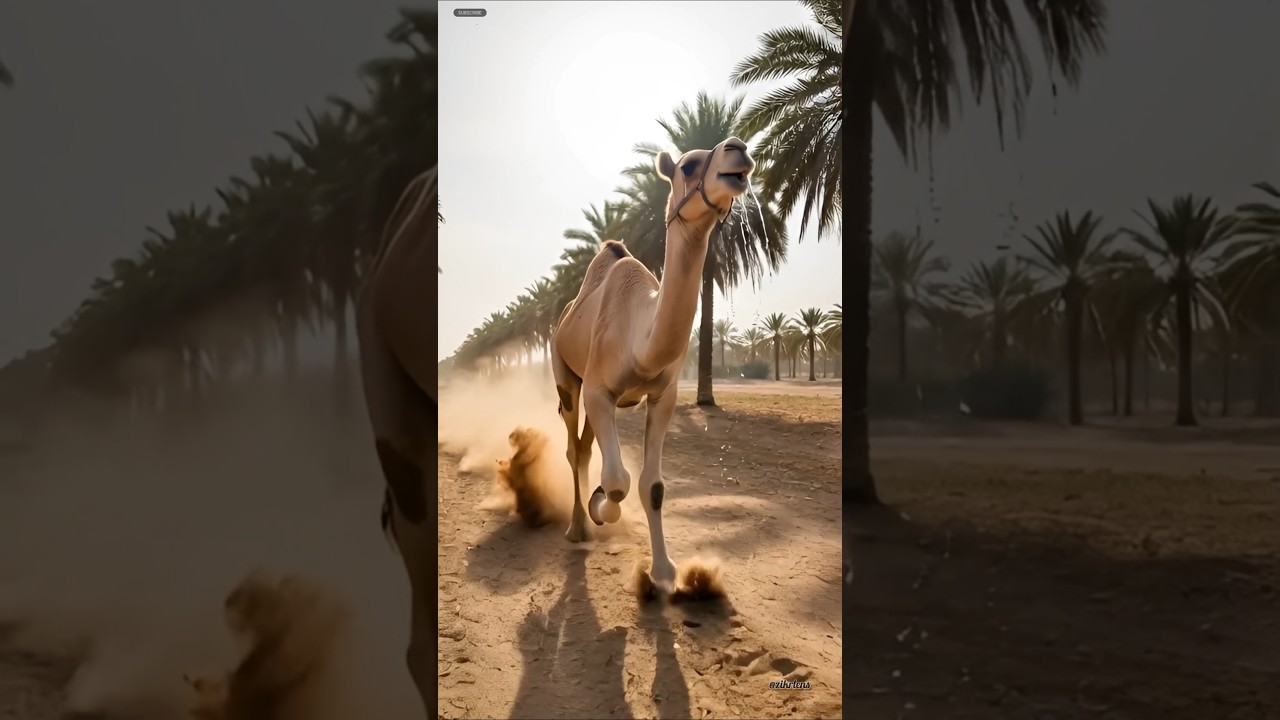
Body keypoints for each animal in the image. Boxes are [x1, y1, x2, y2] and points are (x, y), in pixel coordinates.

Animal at [550, 136, 755, 594]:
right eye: (689, 166)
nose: (738, 149)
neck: (640, 340)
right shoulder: (598, 390)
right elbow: (618, 481)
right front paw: (601, 506)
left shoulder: (663, 396)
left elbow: (652, 486)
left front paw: (664, 574)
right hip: (565, 374)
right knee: (572, 445)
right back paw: (576, 527)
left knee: (585, 447)